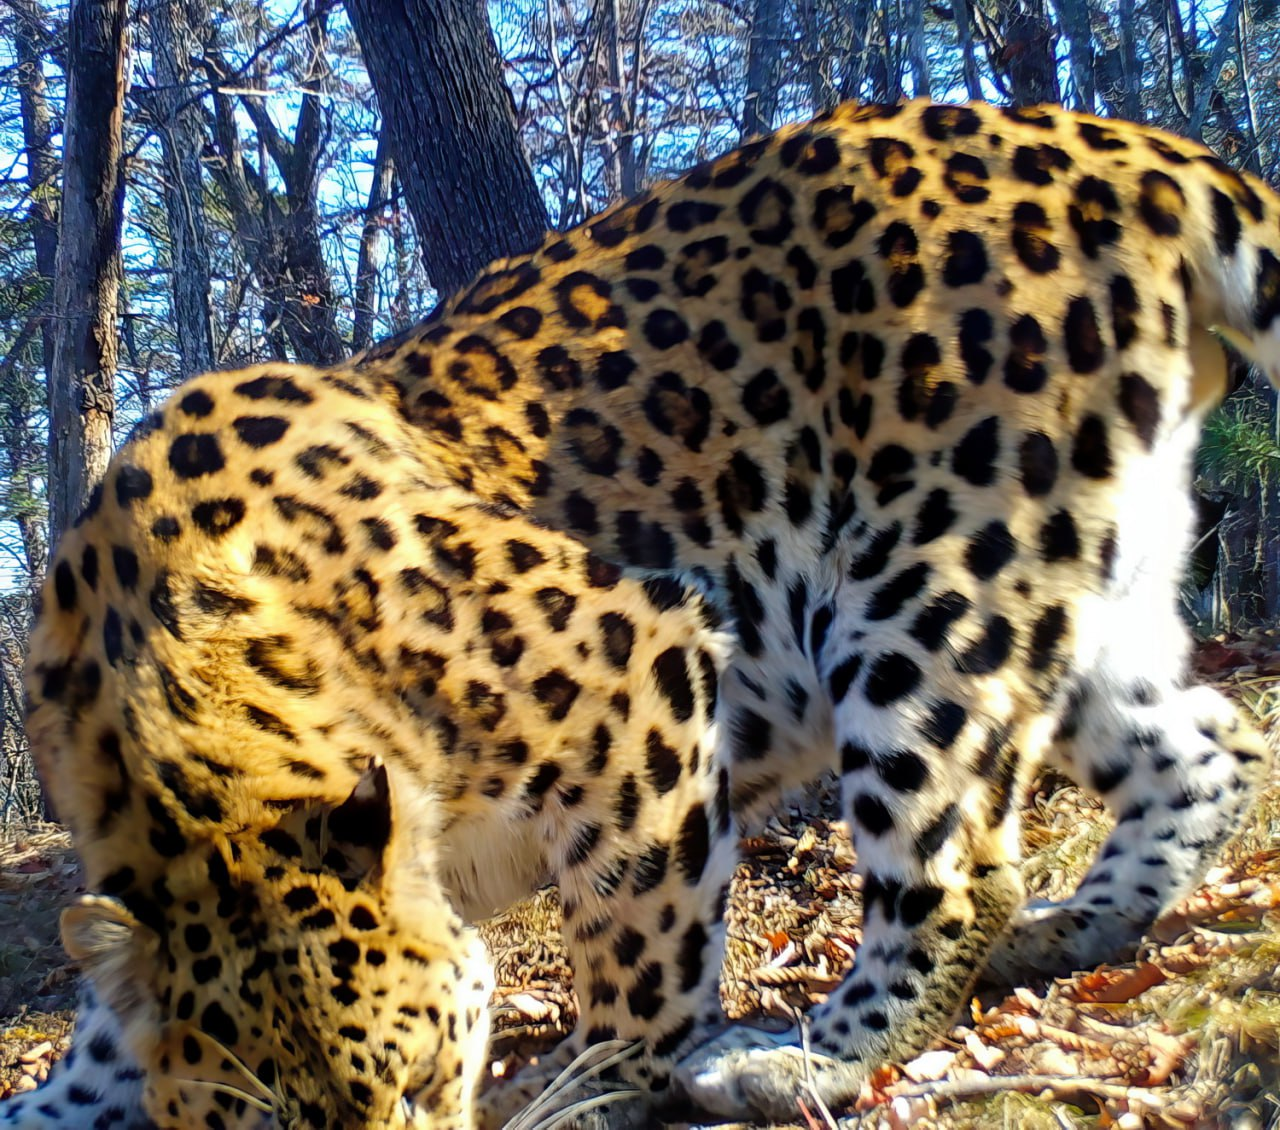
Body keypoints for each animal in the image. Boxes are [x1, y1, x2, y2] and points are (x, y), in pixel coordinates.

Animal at [2, 99, 1280, 1130]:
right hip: (1081, 582)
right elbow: (98, 1055)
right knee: (1213, 743)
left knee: (956, 871)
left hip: (932, 585)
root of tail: (1114, 145)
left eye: (421, 1075)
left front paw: (594, 1082)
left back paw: (796, 1058)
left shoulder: (638, 675)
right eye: (267, 1120)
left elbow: (638, 944)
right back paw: (1074, 926)